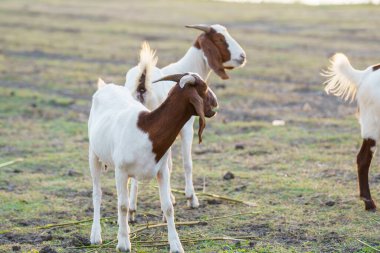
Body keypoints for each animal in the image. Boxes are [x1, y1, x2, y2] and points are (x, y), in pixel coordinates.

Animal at [88, 72, 218, 252]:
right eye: (204, 88)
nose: (216, 102)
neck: (147, 130)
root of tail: (106, 86)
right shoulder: (121, 171)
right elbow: (122, 205)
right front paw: (123, 244)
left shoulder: (162, 171)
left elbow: (168, 206)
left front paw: (176, 245)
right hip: (93, 154)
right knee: (97, 194)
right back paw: (95, 235)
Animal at [124, 24, 246, 217]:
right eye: (220, 39)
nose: (242, 56)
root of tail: (142, 84)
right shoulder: (185, 127)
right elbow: (187, 163)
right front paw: (191, 198)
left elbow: (169, 164)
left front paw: (171, 197)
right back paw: (132, 207)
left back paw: (131, 208)